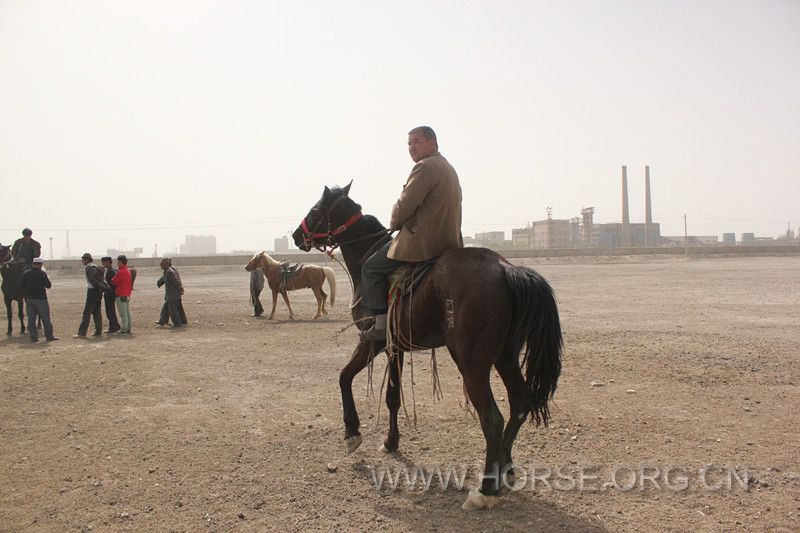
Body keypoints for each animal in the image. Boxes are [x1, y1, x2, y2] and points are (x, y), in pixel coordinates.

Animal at [292, 184, 564, 512]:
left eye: (316, 209)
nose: (296, 235)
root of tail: (504, 268)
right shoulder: (395, 347)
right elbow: (392, 397)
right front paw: (391, 441)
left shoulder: (372, 340)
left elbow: (344, 377)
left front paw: (352, 433)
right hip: (506, 357)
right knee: (520, 403)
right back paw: (505, 468)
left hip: (472, 364)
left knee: (492, 418)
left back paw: (485, 489)